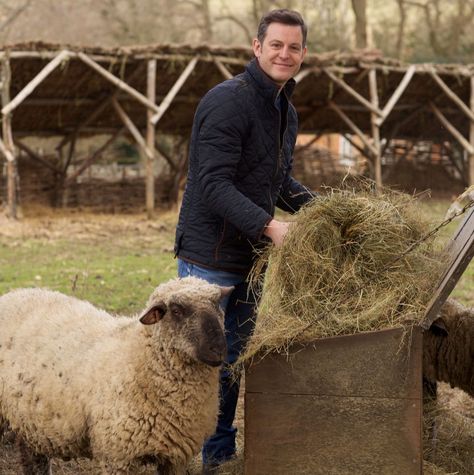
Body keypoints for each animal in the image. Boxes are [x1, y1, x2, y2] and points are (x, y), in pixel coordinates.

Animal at [0, 278, 231, 474]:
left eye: (218, 304)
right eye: (176, 310)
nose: (218, 349)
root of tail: (13, 294)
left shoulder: (175, 458)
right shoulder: (117, 455)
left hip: (30, 421)